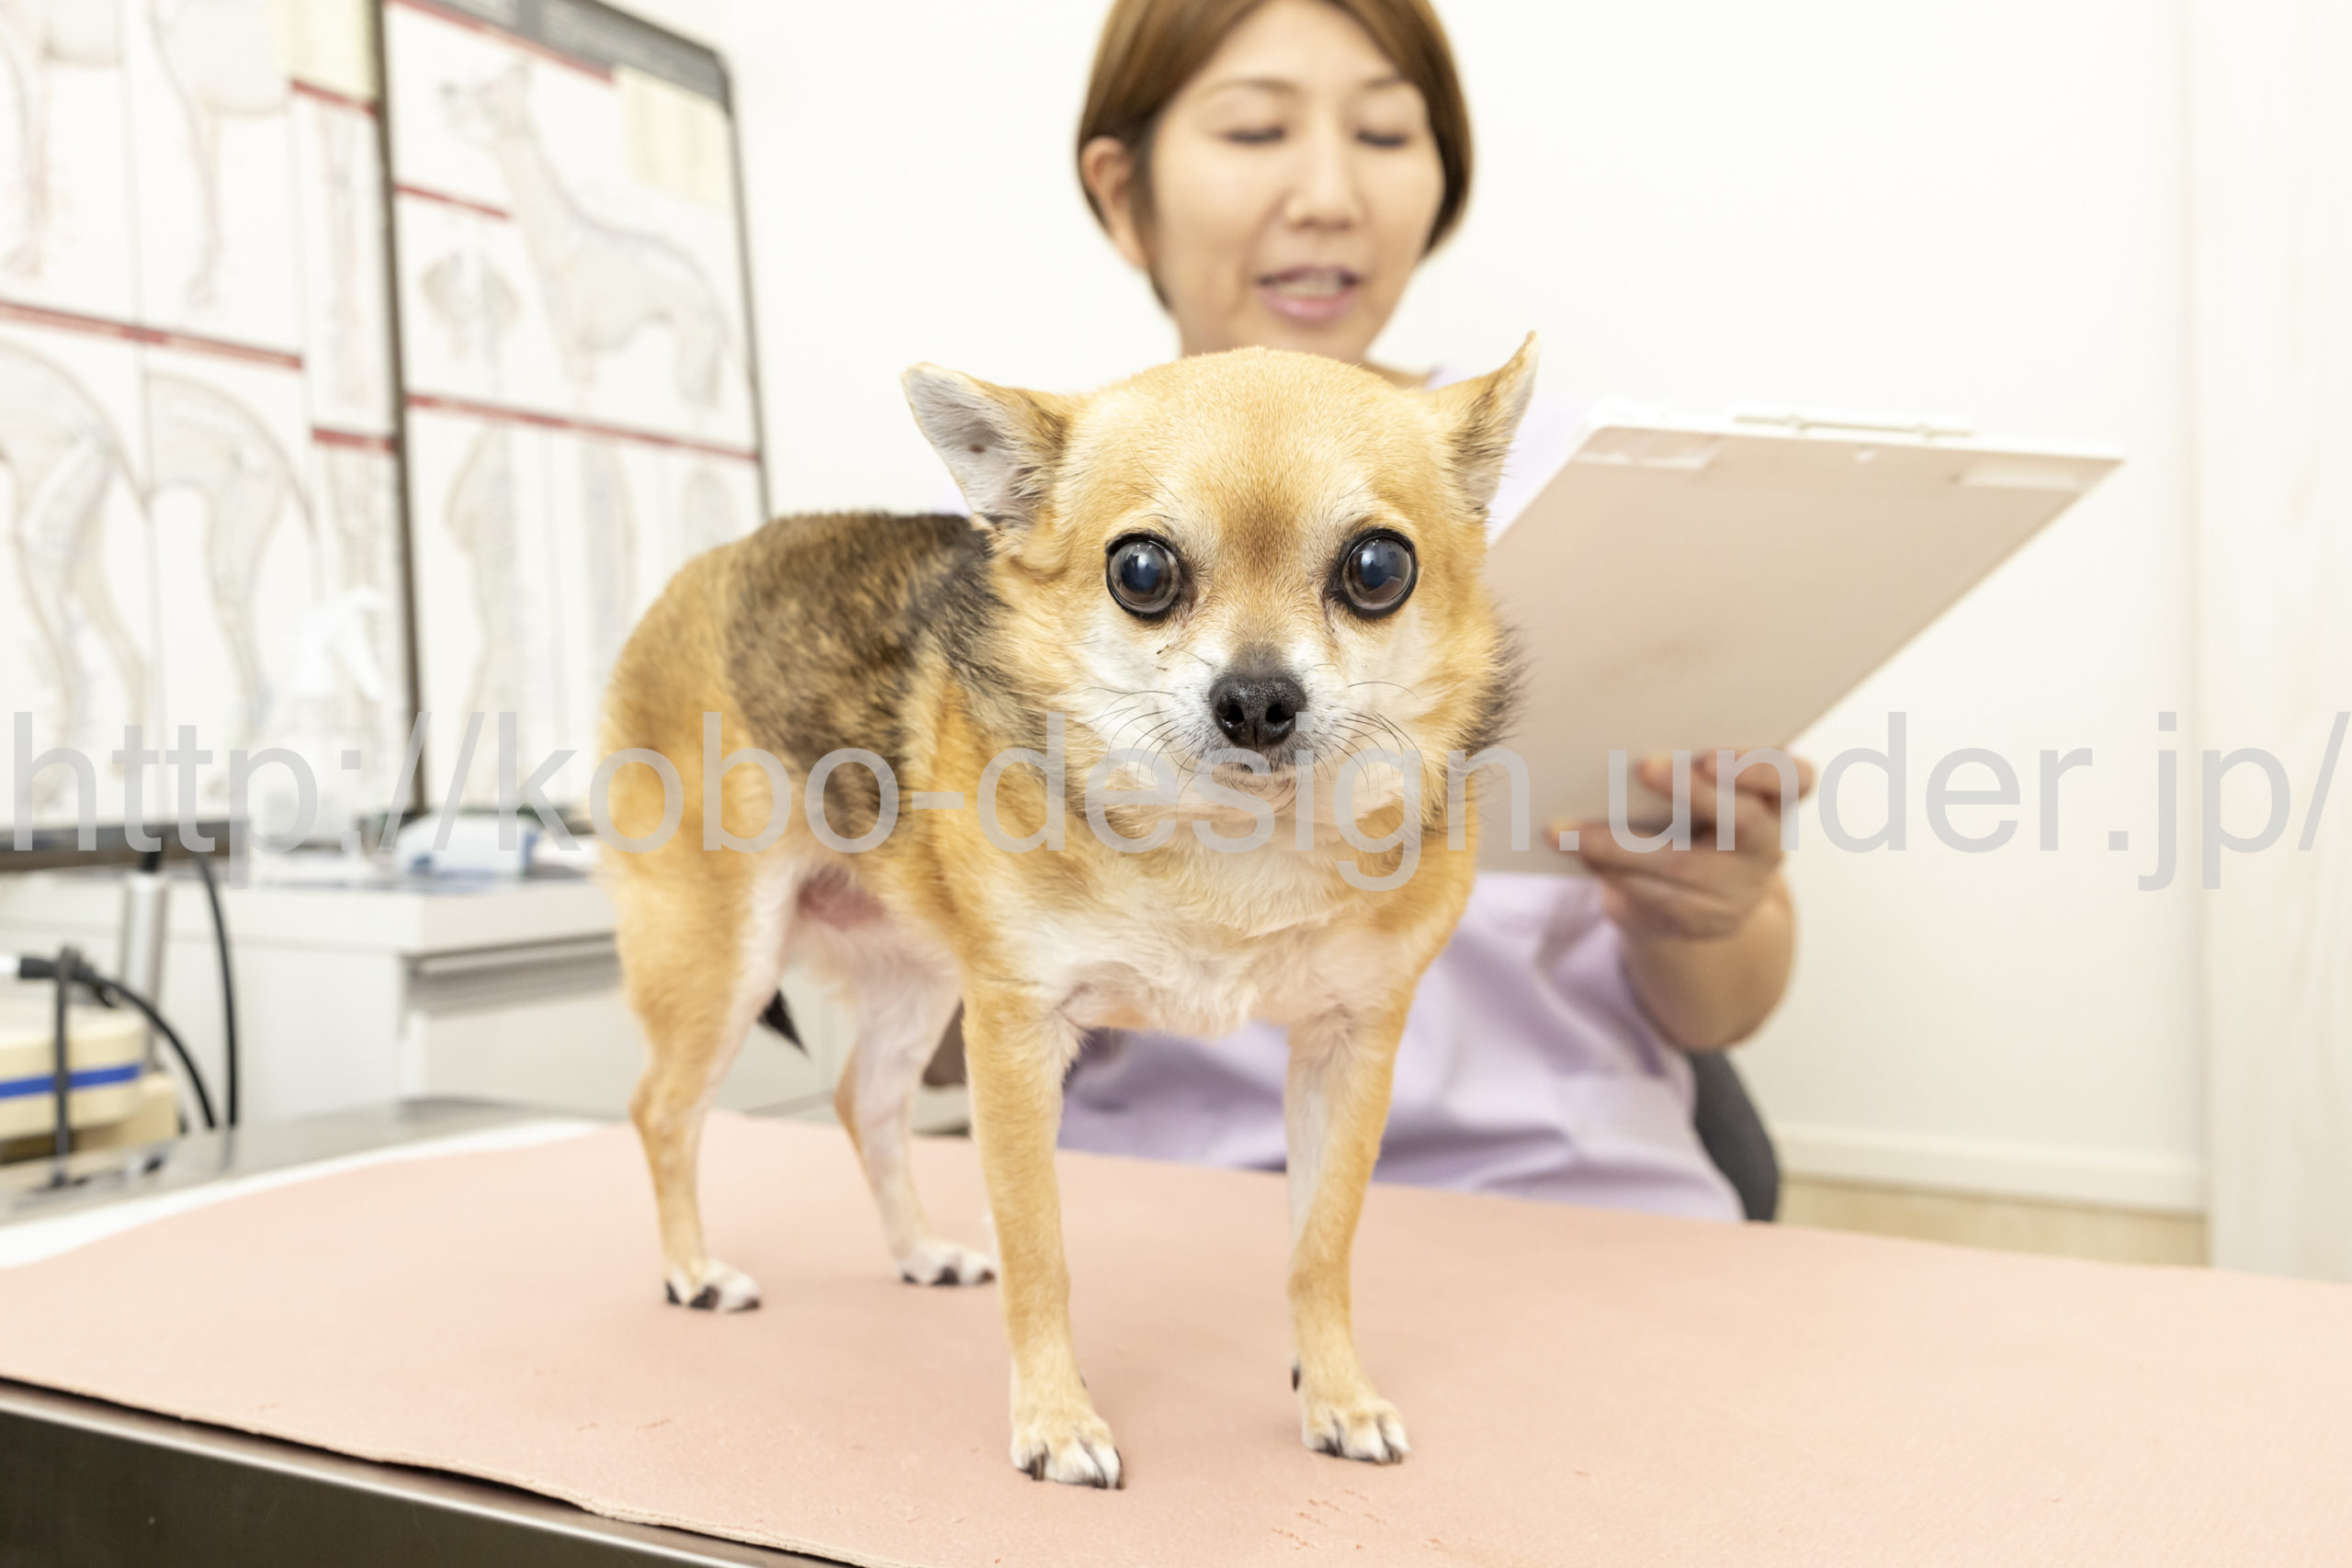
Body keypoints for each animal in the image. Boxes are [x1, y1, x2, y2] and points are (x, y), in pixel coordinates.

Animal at [600, 338, 1536, 1487]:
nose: (1257, 699)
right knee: (664, 1110)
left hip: (915, 977)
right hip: (722, 956)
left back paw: (915, 1253)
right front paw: (1055, 1420)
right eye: (1141, 572)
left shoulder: (1349, 1044)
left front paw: (1335, 1394)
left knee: (864, 1102)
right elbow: (1038, 1251)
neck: (1229, 839)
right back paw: (693, 1270)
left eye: (1376, 570)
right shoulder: (1016, 1032)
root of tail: (697, 572)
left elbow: (1320, 1246)